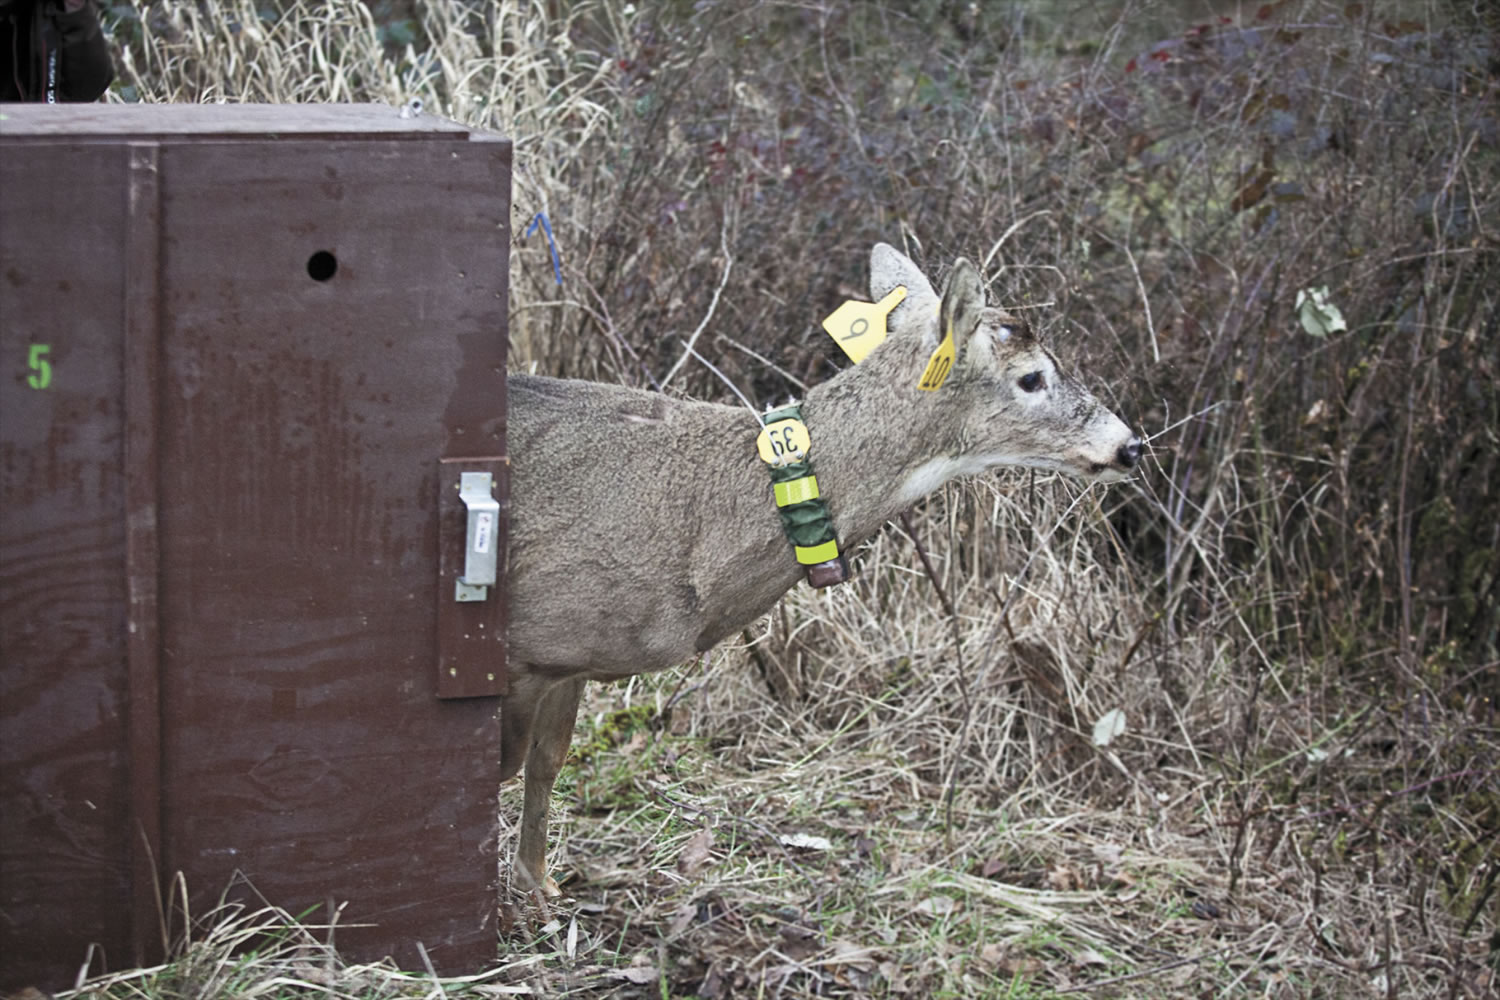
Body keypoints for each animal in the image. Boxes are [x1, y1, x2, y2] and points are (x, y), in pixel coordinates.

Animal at [498, 239, 1140, 893]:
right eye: (1032, 377)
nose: (1130, 446)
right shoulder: (526, 649)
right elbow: (503, 772)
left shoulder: (572, 656)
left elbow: (547, 763)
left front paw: (538, 883)